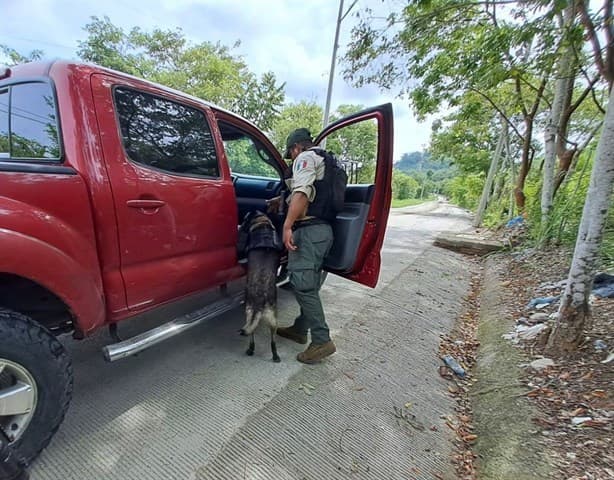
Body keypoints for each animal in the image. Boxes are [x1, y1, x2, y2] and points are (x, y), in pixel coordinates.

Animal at [238, 209, 284, 360]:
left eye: (245, 219)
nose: (240, 227)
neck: (262, 223)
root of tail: (260, 300)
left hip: (251, 314)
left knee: (253, 334)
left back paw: (252, 350)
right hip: (271, 319)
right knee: (271, 340)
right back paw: (274, 355)